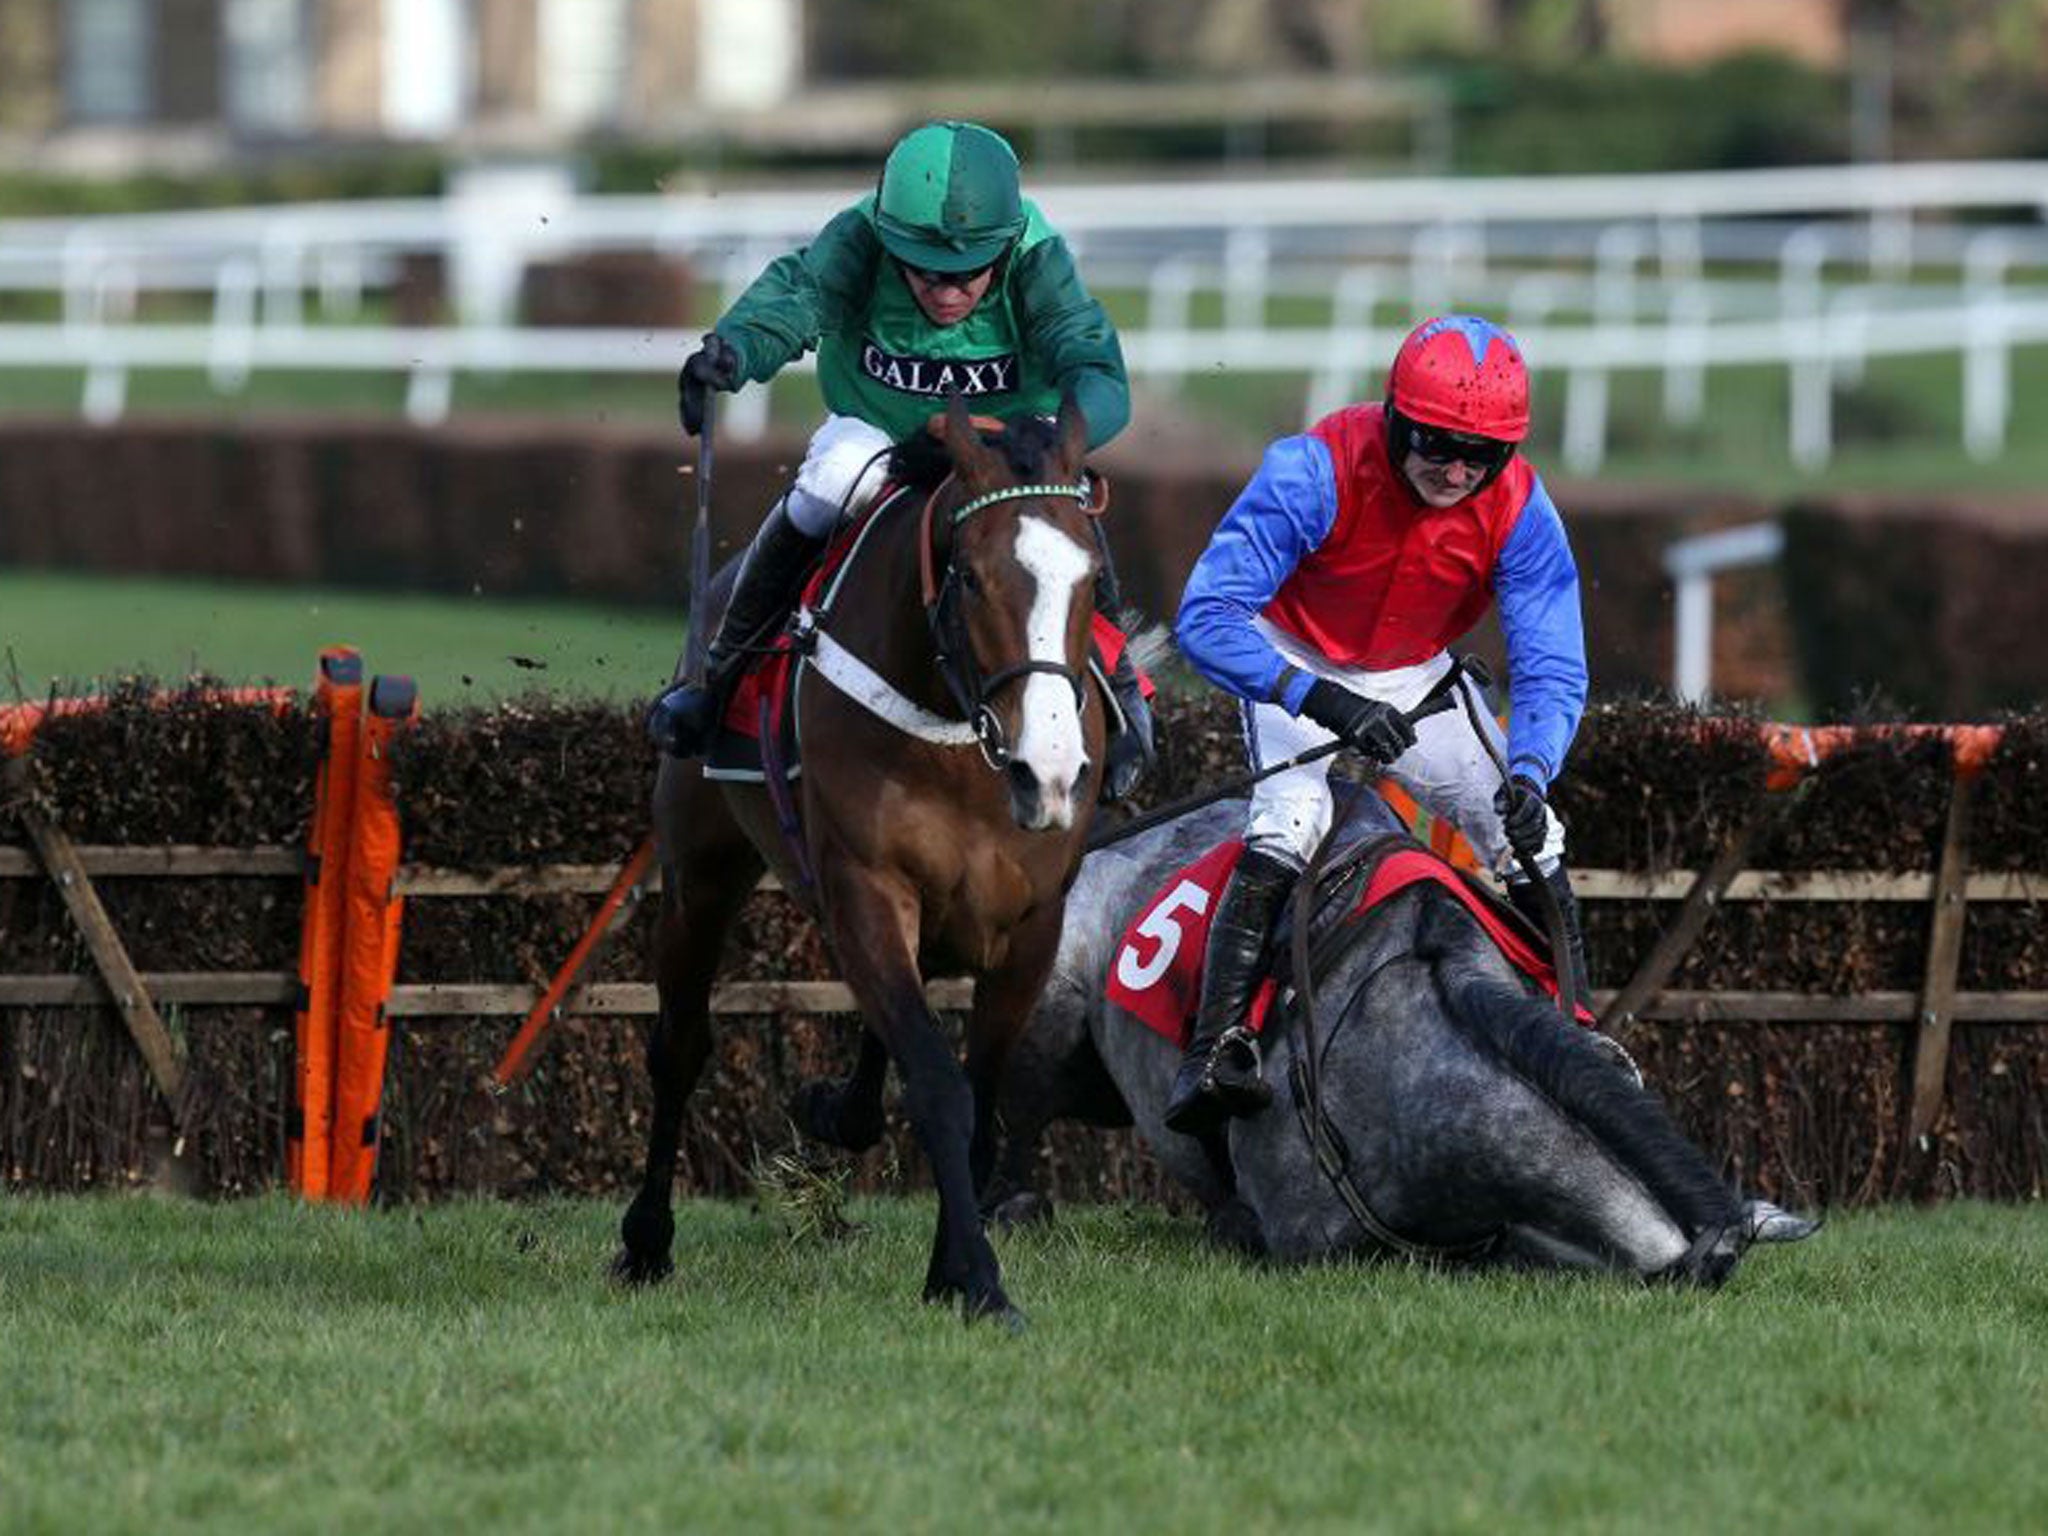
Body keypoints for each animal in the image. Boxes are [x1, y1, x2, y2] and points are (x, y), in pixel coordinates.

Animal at [618, 393, 1114, 1327]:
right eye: (970, 576)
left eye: (1092, 579)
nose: (1050, 771)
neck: (956, 731)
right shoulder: (866, 884)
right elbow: (940, 1085)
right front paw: (980, 1280)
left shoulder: (1032, 923)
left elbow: (977, 1092)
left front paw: (952, 1270)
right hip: (701, 871)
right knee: (680, 1047)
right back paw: (645, 1242)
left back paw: (838, 1110)